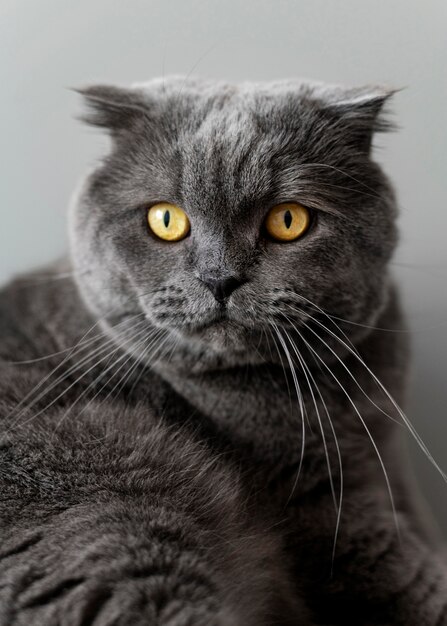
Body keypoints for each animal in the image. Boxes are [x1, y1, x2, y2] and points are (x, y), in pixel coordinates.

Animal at [0, 75, 446, 620]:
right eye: (165, 219)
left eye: (289, 220)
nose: (219, 279)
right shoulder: (329, 508)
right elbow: (414, 582)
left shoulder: (387, 469)